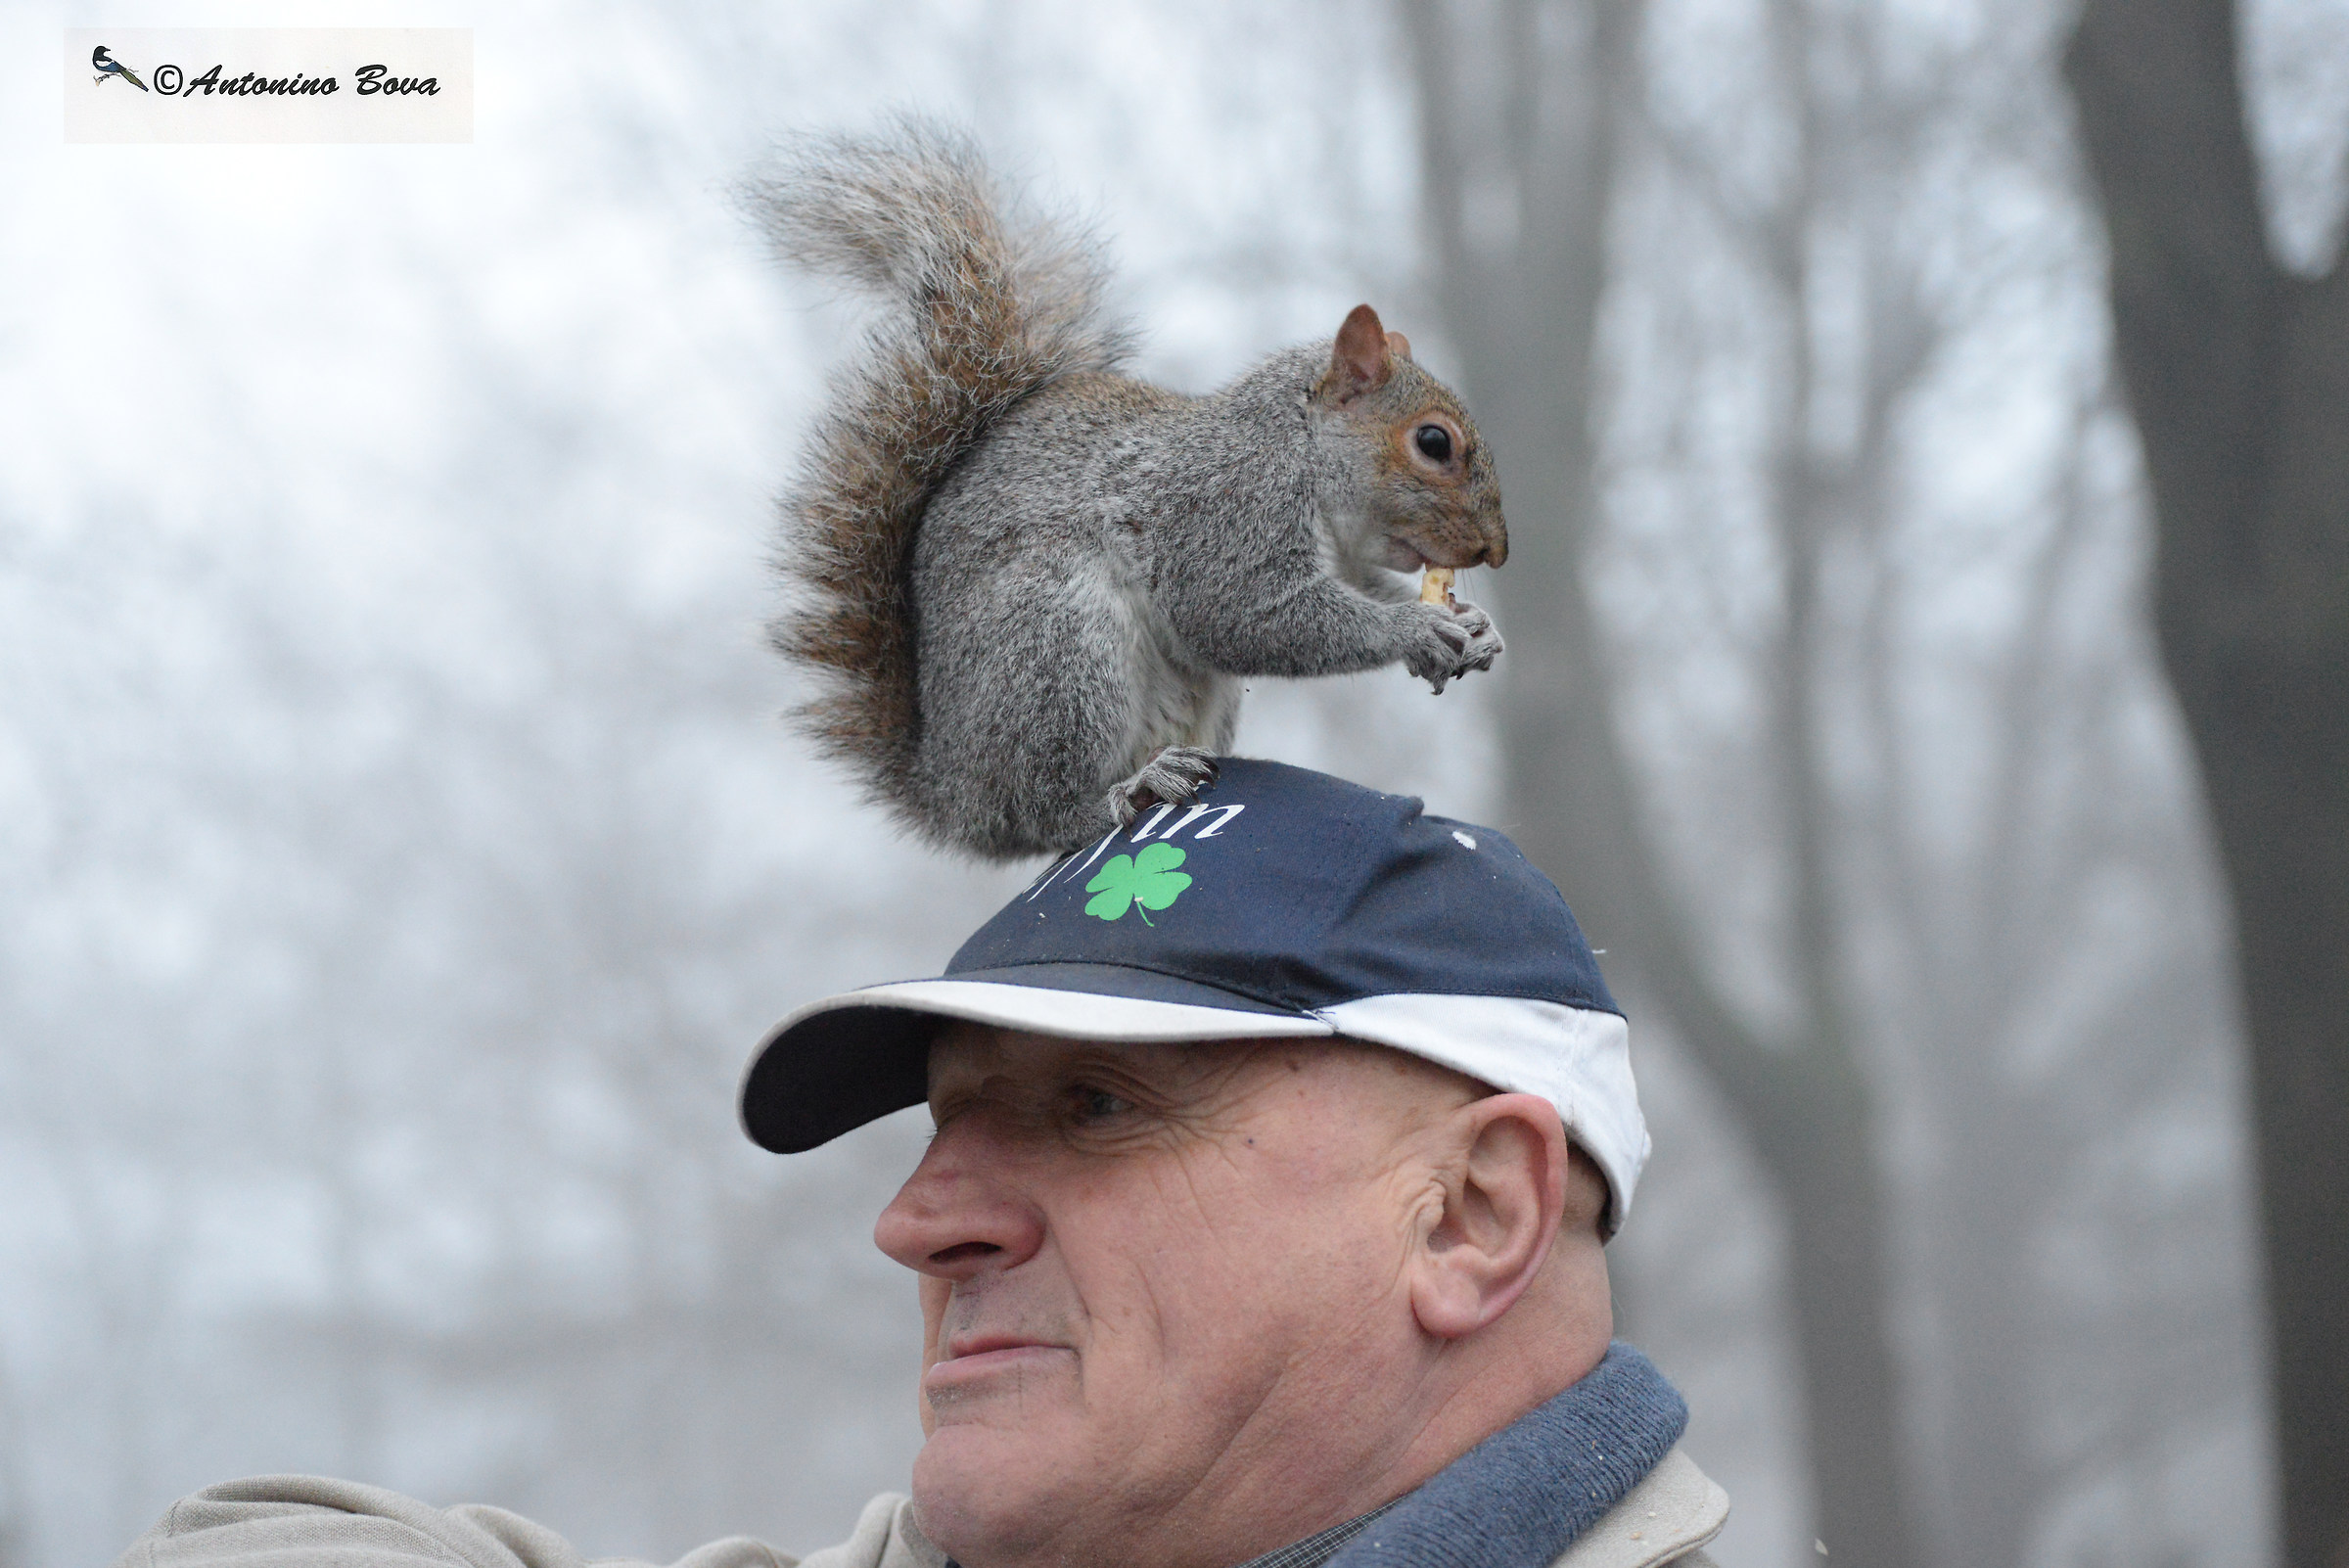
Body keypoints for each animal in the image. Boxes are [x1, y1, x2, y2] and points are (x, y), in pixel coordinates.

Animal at [749, 119, 1508, 862]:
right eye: (1433, 442)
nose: (1495, 551)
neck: (1302, 450)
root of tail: (951, 791)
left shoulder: (1344, 557)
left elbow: (1358, 588)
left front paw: (1473, 626)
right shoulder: (1228, 505)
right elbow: (1241, 614)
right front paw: (1414, 628)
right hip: (1055, 644)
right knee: (1047, 812)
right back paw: (1128, 790)